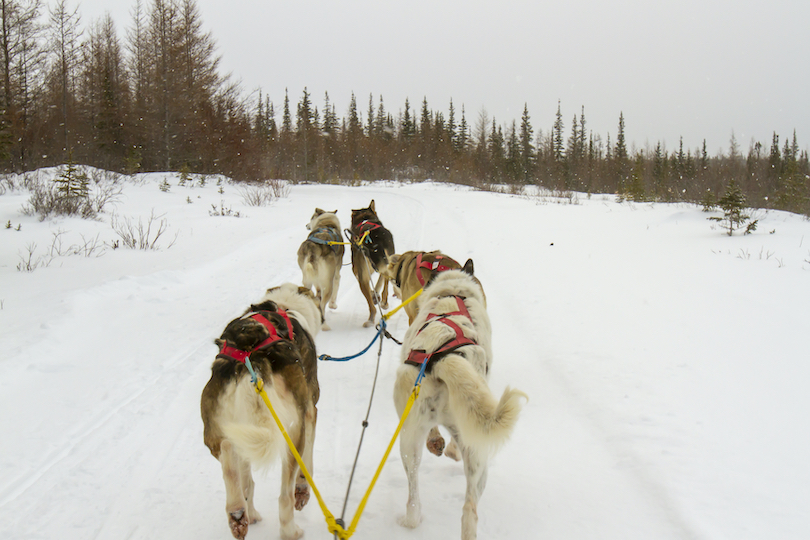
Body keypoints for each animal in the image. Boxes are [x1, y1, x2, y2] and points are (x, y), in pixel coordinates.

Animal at [202, 282, 322, 540]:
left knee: (230, 458)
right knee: (284, 497)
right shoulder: (310, 411)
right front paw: (303, 491)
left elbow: (247, 478)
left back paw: (240, 513)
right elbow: (307, 466)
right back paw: (291, 530)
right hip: (293, 430)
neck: (285, 306)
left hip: (216, 430)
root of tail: (250, 354)